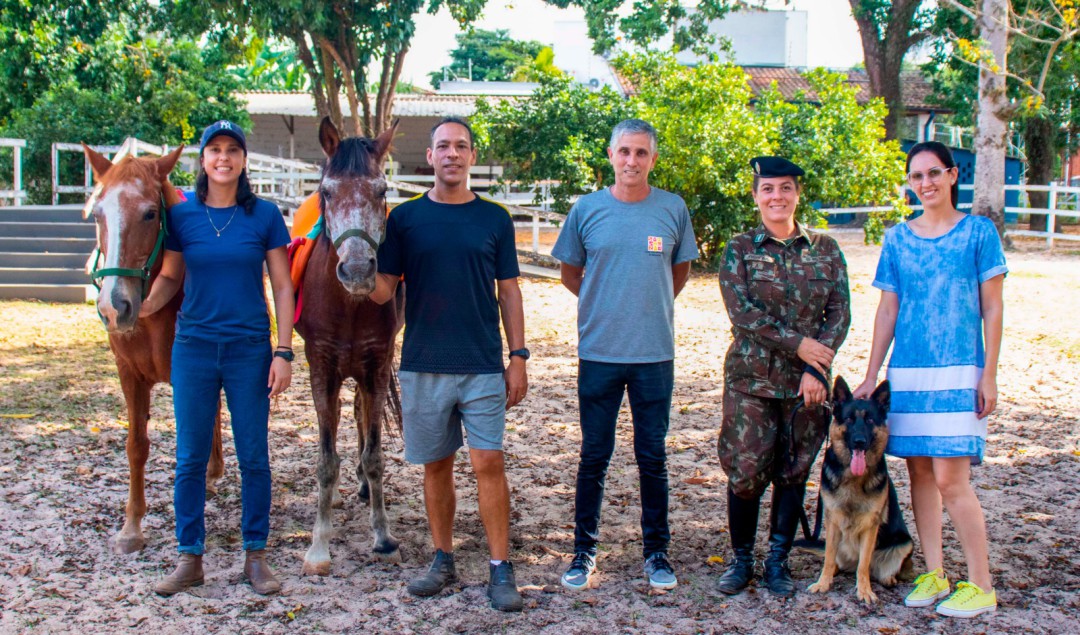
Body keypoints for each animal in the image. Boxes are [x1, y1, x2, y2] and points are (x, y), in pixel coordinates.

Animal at [82, 146, 223, 552]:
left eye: (150, 213)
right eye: (97, 214)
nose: (114, 307)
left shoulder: (186, 377)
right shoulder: (128, 375)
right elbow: (136, 445)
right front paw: (132, 526)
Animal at [807, 377, 915, 604]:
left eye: (870, 420)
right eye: (849, 419)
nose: (859, 442)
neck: (853, 478)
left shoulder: (871, 525)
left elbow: (863, 564)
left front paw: (864, 591)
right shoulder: (832, 520)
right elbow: (828, 558)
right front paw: (823, 583)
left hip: (904, 543)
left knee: (879, 568)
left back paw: (888, 578)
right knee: (836, 561)